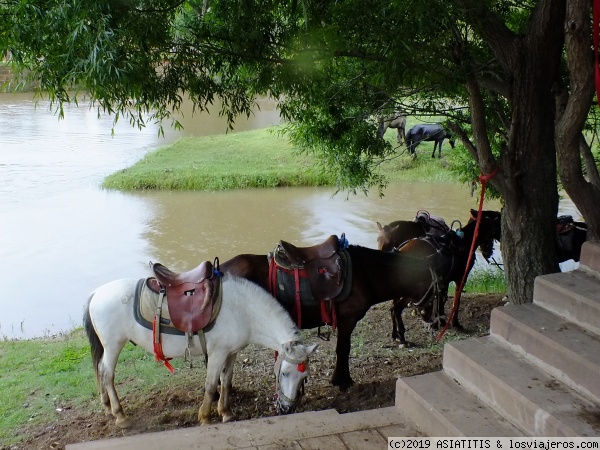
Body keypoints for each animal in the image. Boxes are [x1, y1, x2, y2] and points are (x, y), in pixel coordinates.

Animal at [86, 268, 318, 428]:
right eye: (285, 373)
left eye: (304, 376)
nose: (288, 408)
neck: (243, 311)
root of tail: (96, 293)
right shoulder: (217, 353)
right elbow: (211, 384)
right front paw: (206, 417)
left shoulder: (232, 353)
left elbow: (226, 381)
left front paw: (226, 413)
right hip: (113, 345)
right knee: (107, 374)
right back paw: (120, 415)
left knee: (101, 372)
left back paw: (108, 407)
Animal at [220, 239, 436, 390]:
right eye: (436, 288)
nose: (433, 322)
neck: (365, 273)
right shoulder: (348, 321)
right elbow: (343, 349)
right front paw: (342, 380)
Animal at [378, 213, 500, 346]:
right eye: (493, 232)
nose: (489, 251)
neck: (464, 243)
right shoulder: (461, 279)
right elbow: (455, 302)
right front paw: (455, 323)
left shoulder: (444, 280)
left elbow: (442, 299)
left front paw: (440, 320)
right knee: (396, 308)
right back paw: (402, 336)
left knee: (393, 307)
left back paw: (395, 334)